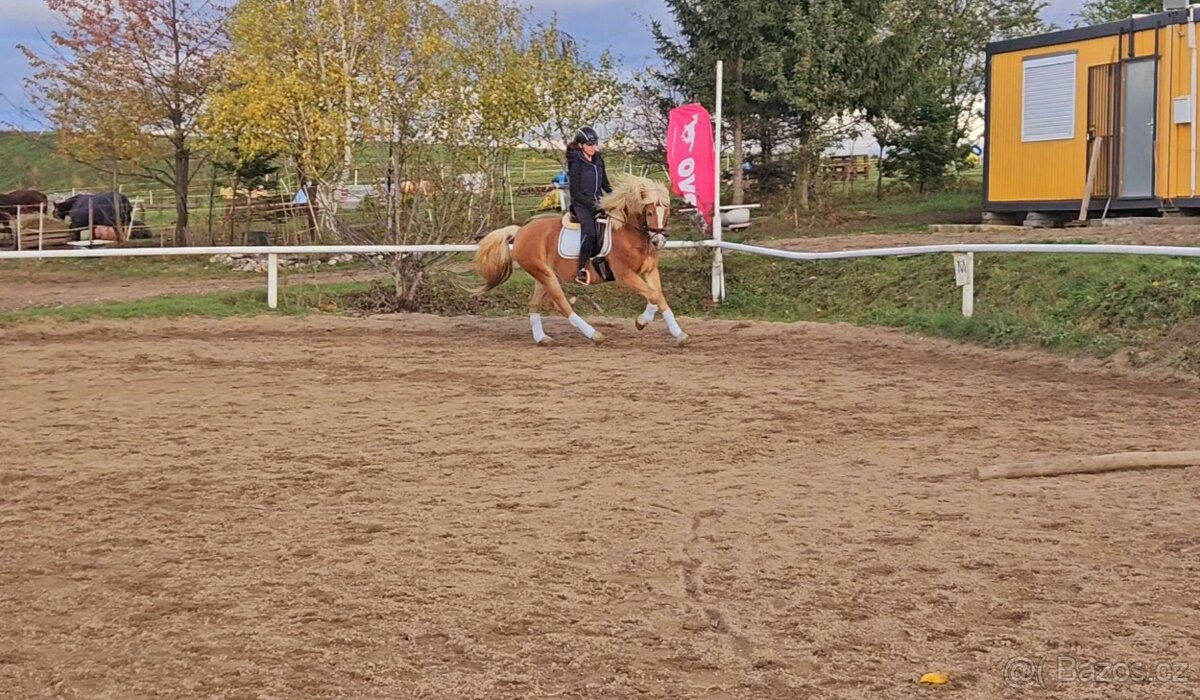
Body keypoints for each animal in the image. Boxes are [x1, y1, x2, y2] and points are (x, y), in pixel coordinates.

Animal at [474, 173, 689, 346]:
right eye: (650, 212)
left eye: (667, 211)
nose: (658, 241)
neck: (630, 234)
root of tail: (520, 232)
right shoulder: (625, 274)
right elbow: (652, 296)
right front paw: (641, 322)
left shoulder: (650, 271)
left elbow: (660, 298)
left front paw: (680, 335)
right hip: (546, 275)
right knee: (562, 305)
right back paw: (595, 335)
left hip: (543, 276)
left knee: (534, 304)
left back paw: (542, 338)